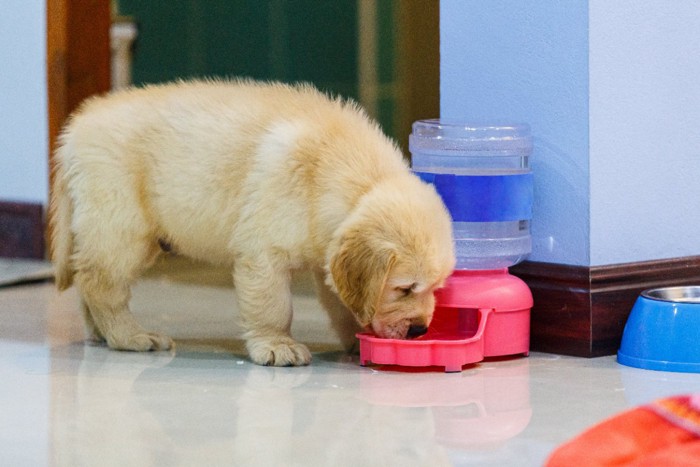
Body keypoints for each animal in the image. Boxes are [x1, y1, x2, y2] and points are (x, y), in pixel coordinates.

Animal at [49, 79, 454, 366]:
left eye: (437, 287)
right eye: (404, 288)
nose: (420, 329)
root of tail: (75, 131)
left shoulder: (328, 255)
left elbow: (343, 301)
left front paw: (356, 337)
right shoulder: (264, 252)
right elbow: (274, 305)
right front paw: (276, 345)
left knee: (87, 278)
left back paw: (101, 334)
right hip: (122, 227)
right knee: (99, 283)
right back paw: (129, 337)